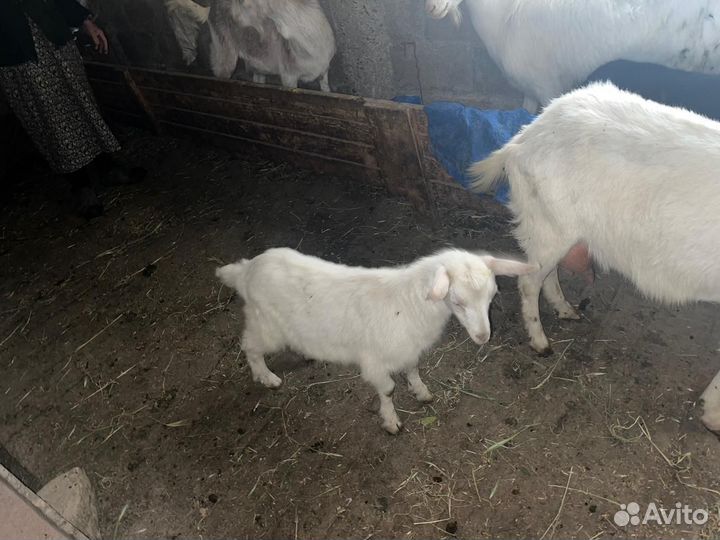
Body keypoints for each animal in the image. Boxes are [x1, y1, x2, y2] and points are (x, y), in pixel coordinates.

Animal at [164, 0, 335, 91]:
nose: (234, 15)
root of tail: (211, 8)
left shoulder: (324, 73)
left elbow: (326, 90)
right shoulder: (288, 79)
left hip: (258, 66)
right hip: (226, 60)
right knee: (219, 77)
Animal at [216, 247, 536, 433]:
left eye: (492, 296)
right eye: (457, 301)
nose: (483, 337)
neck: (409, 304)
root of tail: (245, 270)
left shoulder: (408, 349)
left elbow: (413, 370)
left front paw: (421, 391)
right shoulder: (375, 361)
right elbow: (388, 390)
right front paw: (391, 420)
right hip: (266, 324)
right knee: (250, 345)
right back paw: (265, 376)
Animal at [469, 81, 720, 431]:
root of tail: (524, 137)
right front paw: (712, 413)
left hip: (556, 229)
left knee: (547, 275)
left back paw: (565, 310)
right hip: (549, 226)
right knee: (530, 282)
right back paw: (540, 341)